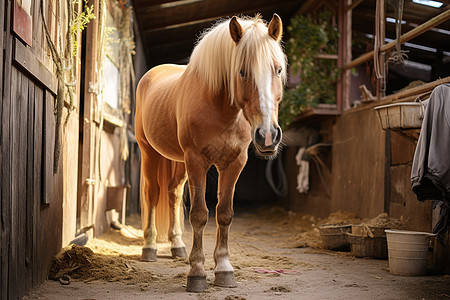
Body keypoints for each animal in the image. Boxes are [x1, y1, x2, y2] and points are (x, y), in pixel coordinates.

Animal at [135, 14, 286, 292]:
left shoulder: (234, 163)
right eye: (242, 71)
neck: (220, 108)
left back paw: (177, 246)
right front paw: (196, 273)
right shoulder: (197, 161)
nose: (268, 135)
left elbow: (224, 214)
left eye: (278, 70)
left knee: (173, 194)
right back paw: (149, 248)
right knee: (153, 194)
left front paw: (224, 269)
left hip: (179, 162)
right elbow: (199, 215)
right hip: (150, 152)